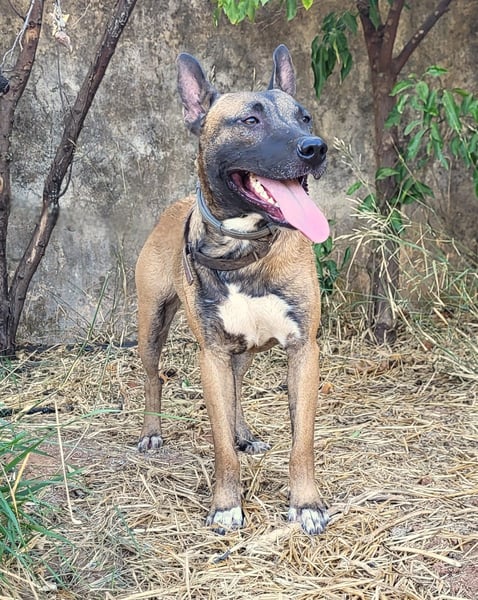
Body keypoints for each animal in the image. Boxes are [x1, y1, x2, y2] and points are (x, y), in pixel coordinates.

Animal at [135, 45, 330, 535]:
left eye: (304, 117)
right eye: (250, 120)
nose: (315, 148)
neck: (246, 248)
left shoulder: (303, 349)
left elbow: (302, 441)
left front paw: (306, 504)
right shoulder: (211, 356)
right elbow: (220, 442)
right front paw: (226, 505)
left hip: (241, 350)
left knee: (239, 389)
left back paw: (245, 434)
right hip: (152, 326)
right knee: (152, 377)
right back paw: (151, 432)